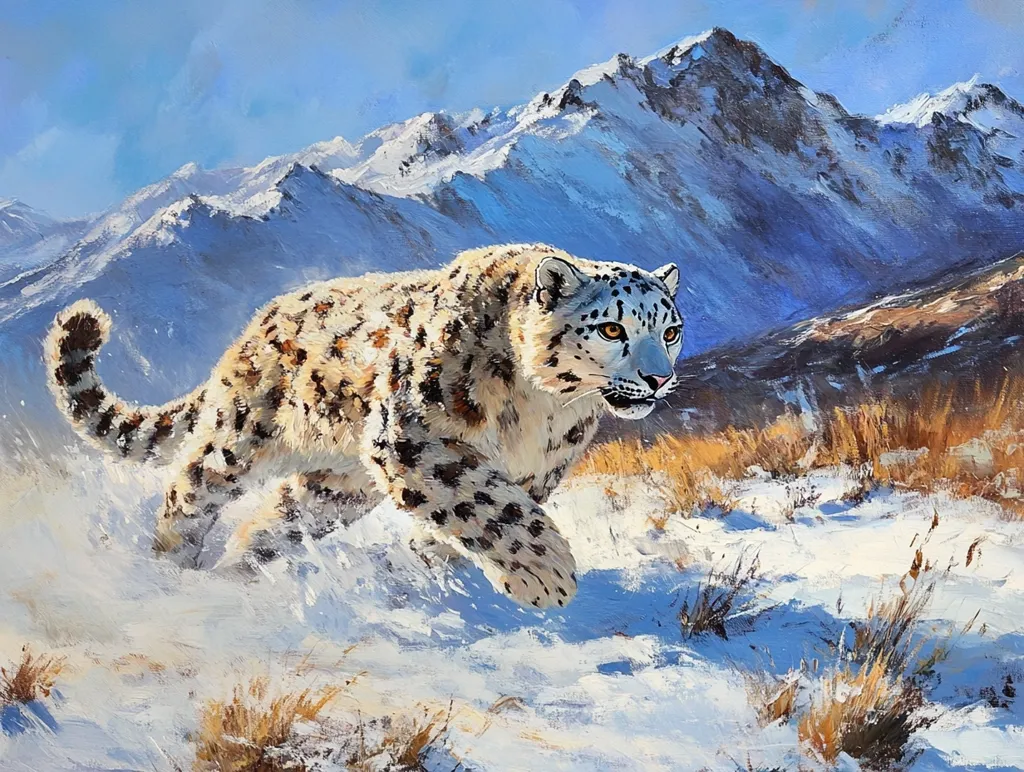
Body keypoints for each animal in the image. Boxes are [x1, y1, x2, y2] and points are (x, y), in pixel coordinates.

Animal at [45, 243, 683, 609]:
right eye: (611, 329)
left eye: (670, 330)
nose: (657, 378)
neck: (545, 408)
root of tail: (254, 325)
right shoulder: (410, 438)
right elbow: (487, 504)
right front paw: (544, 574)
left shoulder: (537, 471)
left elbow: (474, 516)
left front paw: (426, 568)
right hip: (238, 439)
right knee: (187, 491)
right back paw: (167, 573)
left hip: (336, 488)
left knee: (271, 521)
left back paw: (236, 576)